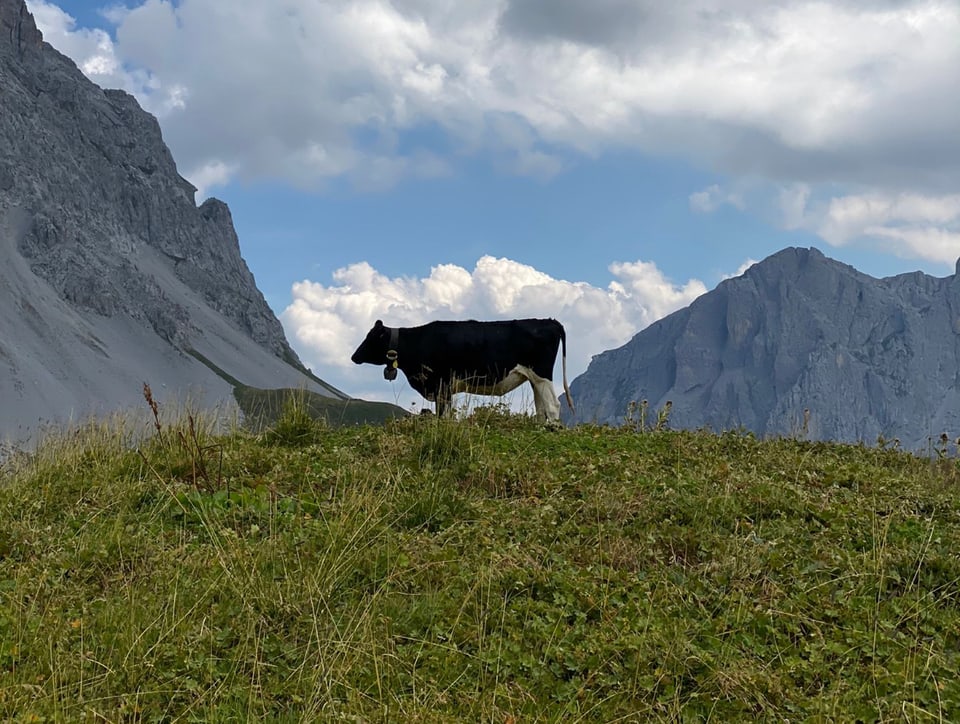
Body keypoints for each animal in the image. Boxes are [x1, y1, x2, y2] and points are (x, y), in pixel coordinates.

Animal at [350, 316, 568, 418]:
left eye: (370, 338)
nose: (353, 357)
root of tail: (550, 321)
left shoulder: (441, 384)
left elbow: (442, 414)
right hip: (534, 379)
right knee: (541, 407)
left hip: (542, 374)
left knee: (553, 405)